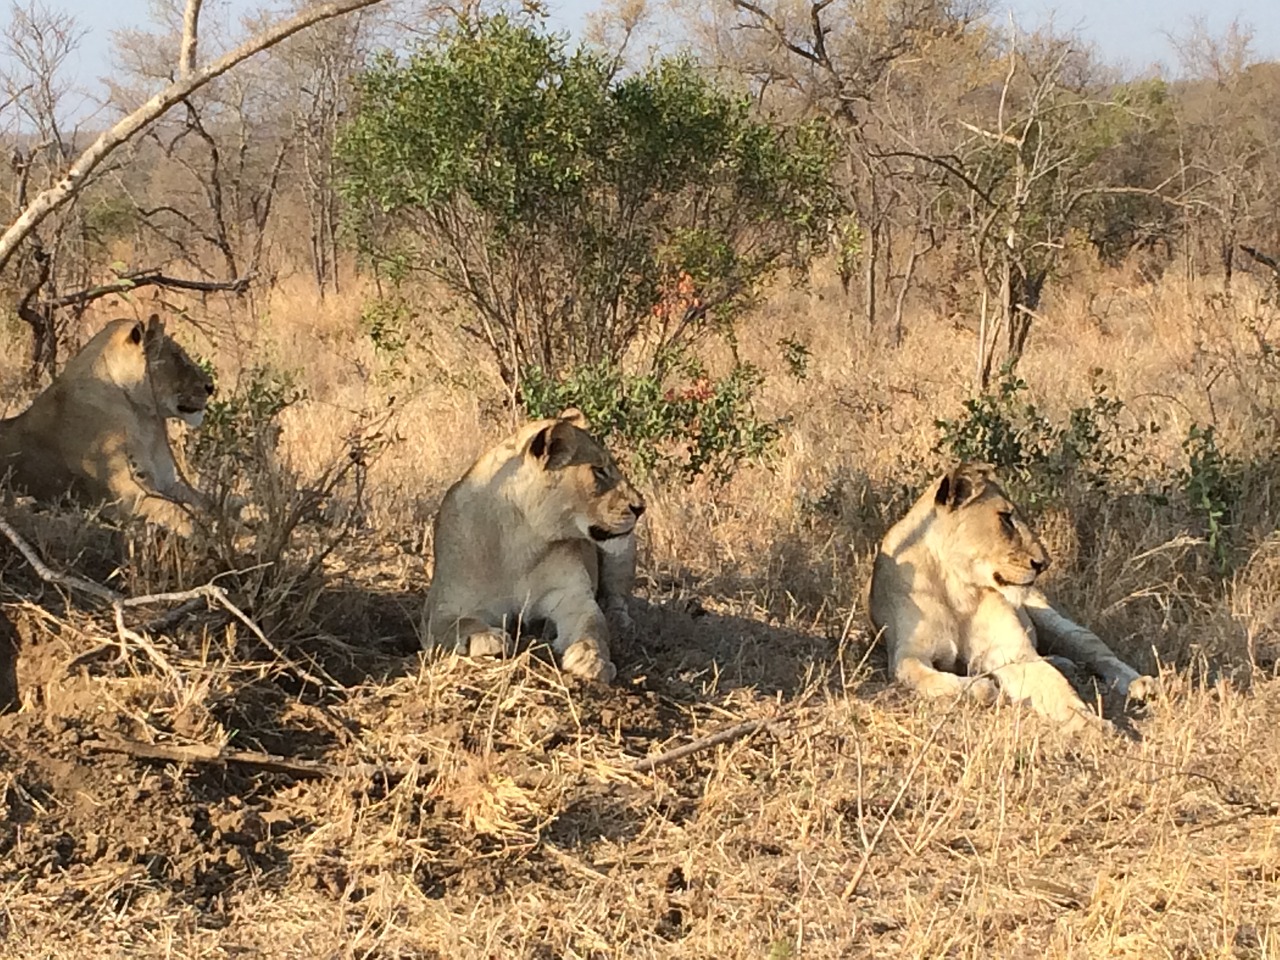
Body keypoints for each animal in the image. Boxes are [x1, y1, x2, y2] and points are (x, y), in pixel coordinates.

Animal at [0, 312, 213, 535]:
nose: (211, 387)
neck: (147, 421)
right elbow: (179, 512)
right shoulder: (129, 492)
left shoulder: (167, 483)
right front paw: (209, 531)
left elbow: (204, 501)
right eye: (178, 357)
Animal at [422, 407, 645, 686]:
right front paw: (486, 638)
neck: (524, 540)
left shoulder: (572, 597)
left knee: (617, 598)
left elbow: (594, 627)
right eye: (599, 471)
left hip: (623, 548)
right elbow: (458, 623)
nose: (641, 507)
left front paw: (592, 659)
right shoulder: (442, 607)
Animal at [870, 463, 1162, 732]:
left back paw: (1142, 685)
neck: (960, 588)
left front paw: (1091, 723)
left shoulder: (1012, 654)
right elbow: (938, 681)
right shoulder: (908, 655)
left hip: (1059, 624)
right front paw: (984, 687)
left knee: (1099, 653)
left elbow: (1060, 690)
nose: (1044, 563)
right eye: (1005, 518)